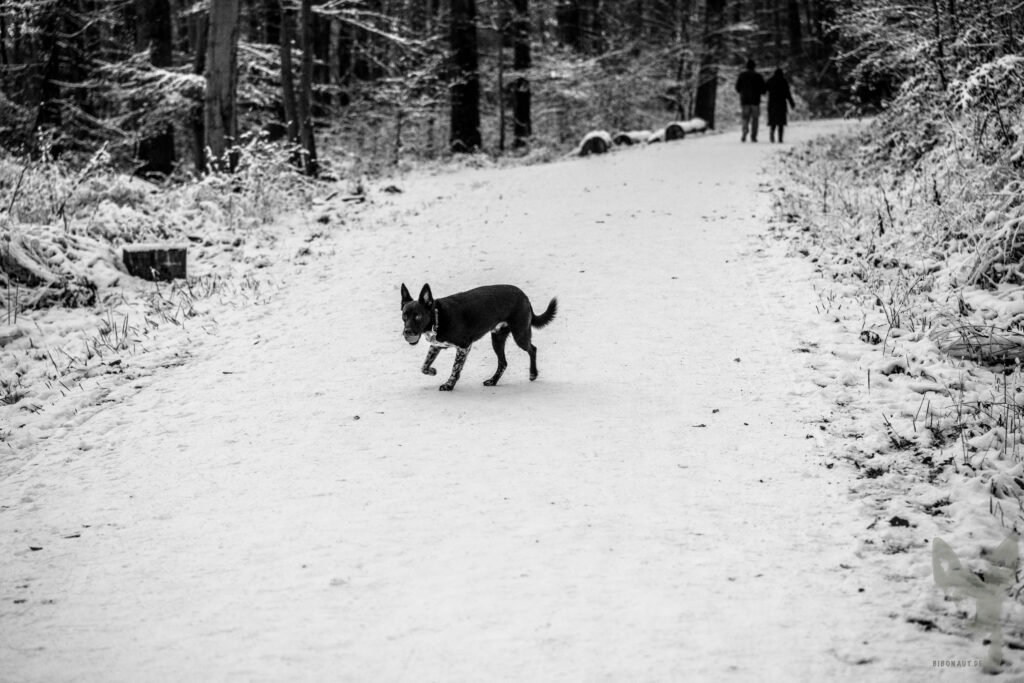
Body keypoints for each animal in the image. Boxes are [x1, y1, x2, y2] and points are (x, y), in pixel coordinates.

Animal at [400, 283, 558, 391]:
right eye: (404, 315)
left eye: (418, 316)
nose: (407, 331)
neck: (438, 317)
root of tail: (524, 296)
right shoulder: (436, 345)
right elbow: (424, 366)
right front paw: (432, 371)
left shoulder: (464, 346)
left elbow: (455, 368)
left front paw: (449, 385)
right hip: (497, 338)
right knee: (503, 362)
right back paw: (493, 381)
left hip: (520, 335)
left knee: (533, 349)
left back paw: (533, 374)